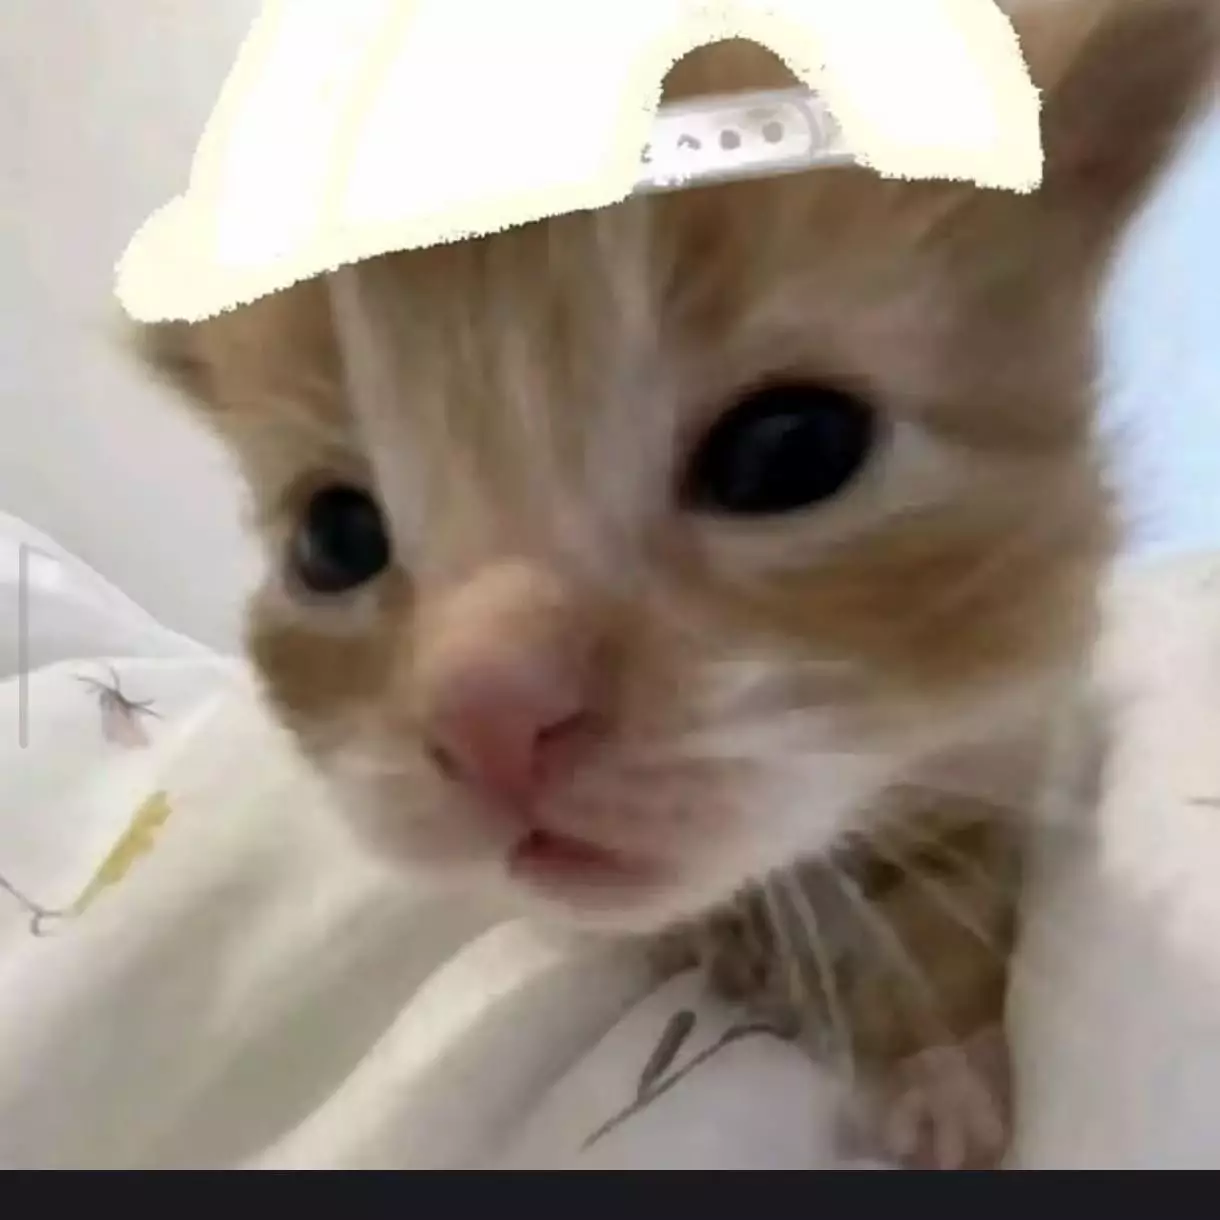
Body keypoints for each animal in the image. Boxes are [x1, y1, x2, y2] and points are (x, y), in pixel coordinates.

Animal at [131, 0, 1218, 1169]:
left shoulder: (1010, 734)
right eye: (335, 540)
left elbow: (948, 884)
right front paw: (724, 943)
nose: (487, 715)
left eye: (789, 449)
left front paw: (936, 1062)